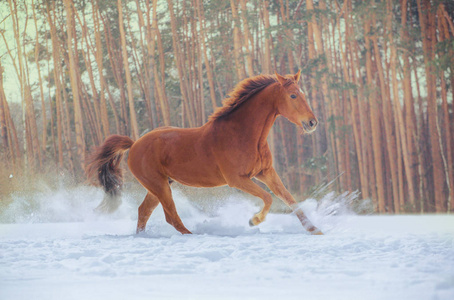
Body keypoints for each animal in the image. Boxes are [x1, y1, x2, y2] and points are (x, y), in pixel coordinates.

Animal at [87, 71, 322, 236]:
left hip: (159, 185)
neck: (243, 134)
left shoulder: (266, 172)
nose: (312, 123)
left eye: (303, 94)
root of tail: (135, 143)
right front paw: (253, 221)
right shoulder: (238, 179)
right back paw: (194, 234)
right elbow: (268, 198)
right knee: (170, 216)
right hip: (159, 185)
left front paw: (314, 229)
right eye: (293, 95)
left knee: (144, 211)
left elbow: (290, 199)